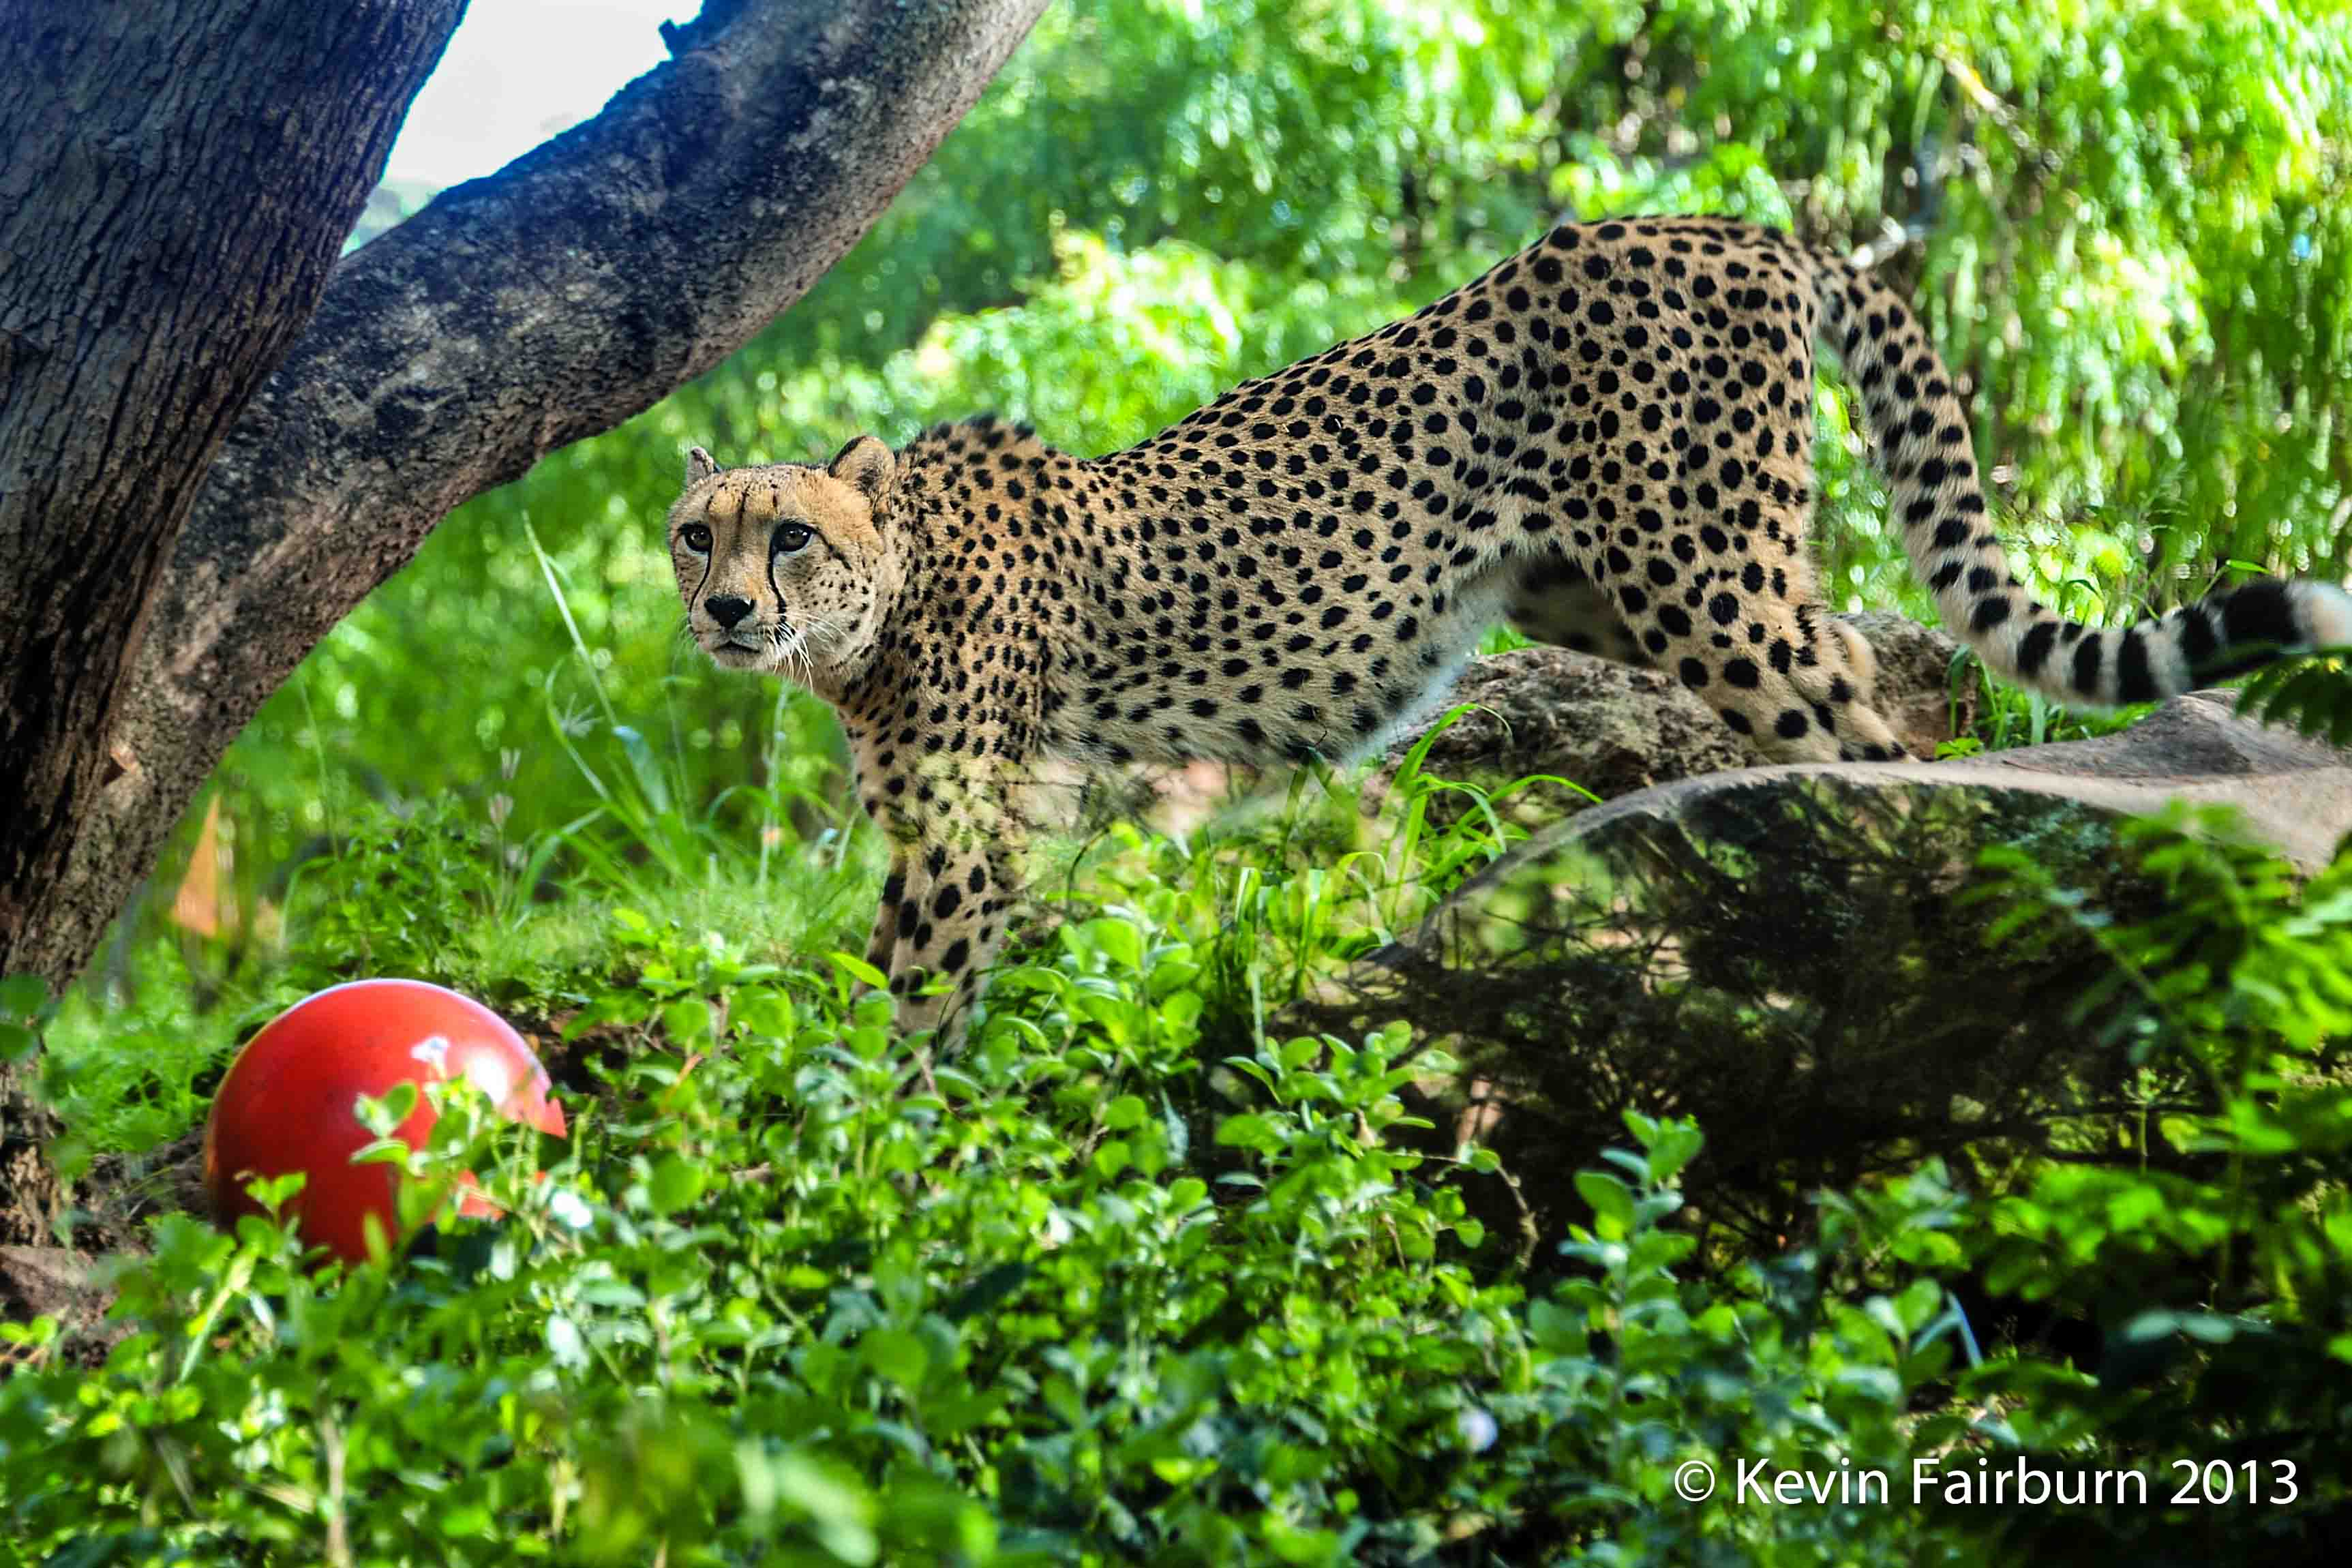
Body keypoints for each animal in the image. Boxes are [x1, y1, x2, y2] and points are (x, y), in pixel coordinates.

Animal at [667, 211, 2352, 1044]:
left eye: (789, 534)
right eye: (699, 534)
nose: (728, 609)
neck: (878, 609)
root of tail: (1728, 223)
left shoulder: (971, 829)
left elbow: (922, 1004)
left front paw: (893, 1169)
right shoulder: (949, 822)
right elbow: (893, 972)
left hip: (1699, 573)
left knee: (1859, 716)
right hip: (1604, 590)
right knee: (1868, 665)